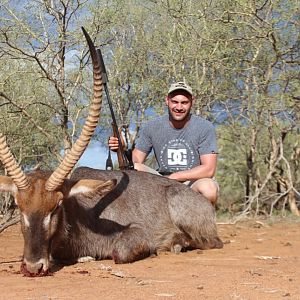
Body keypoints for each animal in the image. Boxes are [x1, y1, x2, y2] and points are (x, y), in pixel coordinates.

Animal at [0, 28, 223, 276]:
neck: (79, 212)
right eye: (19, 205)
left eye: (56, 205)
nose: (33, 266)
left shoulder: (137, 233)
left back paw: (177, 243)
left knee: (211, 242)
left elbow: (120, 252)